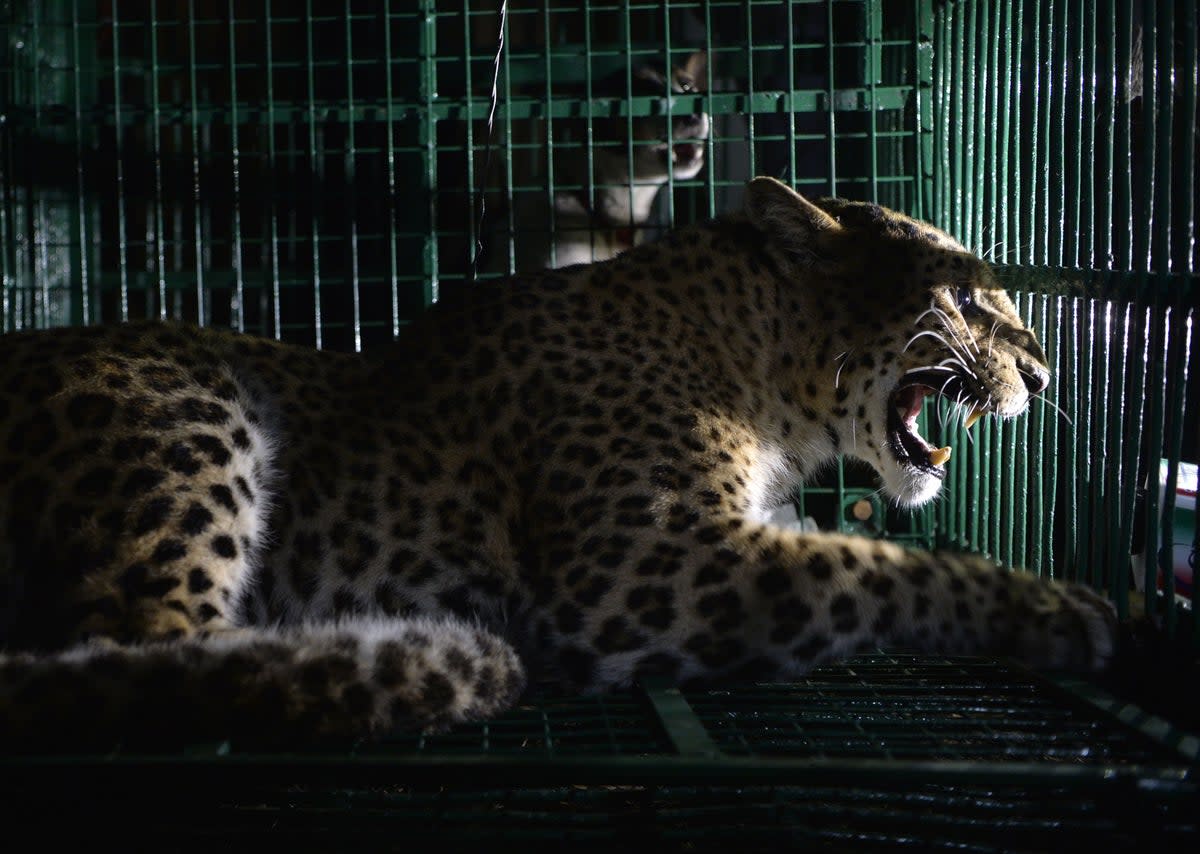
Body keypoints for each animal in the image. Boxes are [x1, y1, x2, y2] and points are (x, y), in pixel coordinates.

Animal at [0, 176, 1113, 748]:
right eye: (963, 297)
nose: (1046, 370)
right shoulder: (637, 570)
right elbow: (878, 569)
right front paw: (1061, 613)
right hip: (183, 409)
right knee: (133, 658)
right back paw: (431, 654)